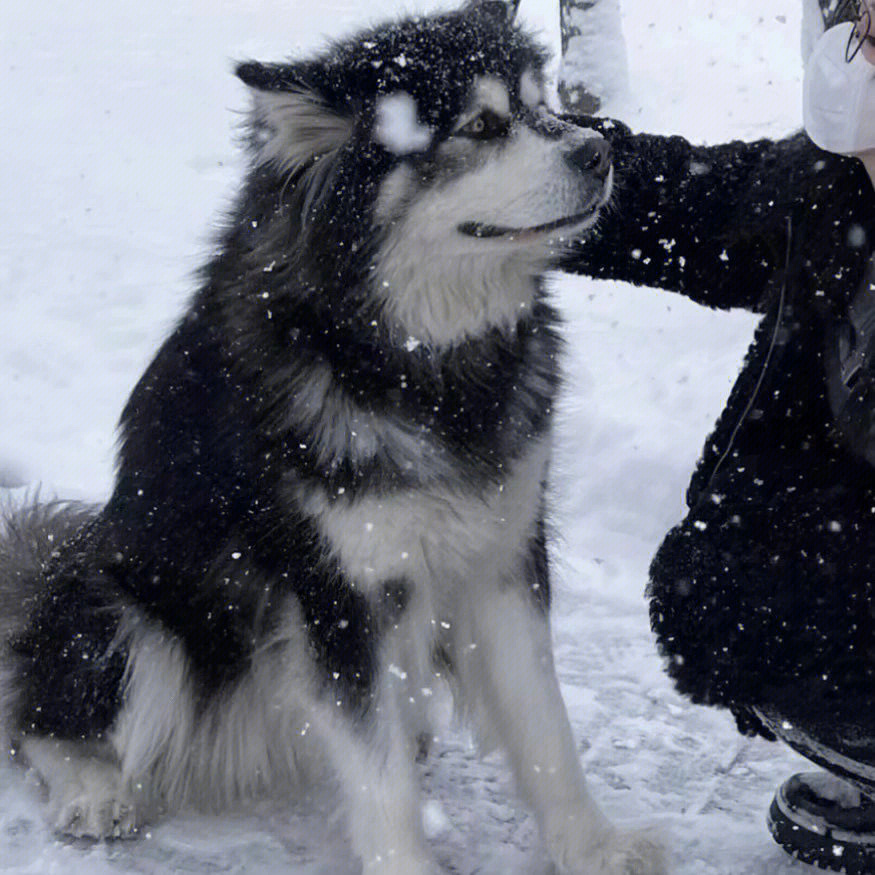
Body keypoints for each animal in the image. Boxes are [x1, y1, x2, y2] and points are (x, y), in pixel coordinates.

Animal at [1, 0, 664, 872]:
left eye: (542, 102)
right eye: (480, 126)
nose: (598, 149)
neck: (418, 359)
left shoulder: (501, 557)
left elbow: (543, 725)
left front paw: (590, 844)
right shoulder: (337, 589)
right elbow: (377, 773)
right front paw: (407, 863)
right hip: (123, 607)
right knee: (45, 714)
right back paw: (91, 786)